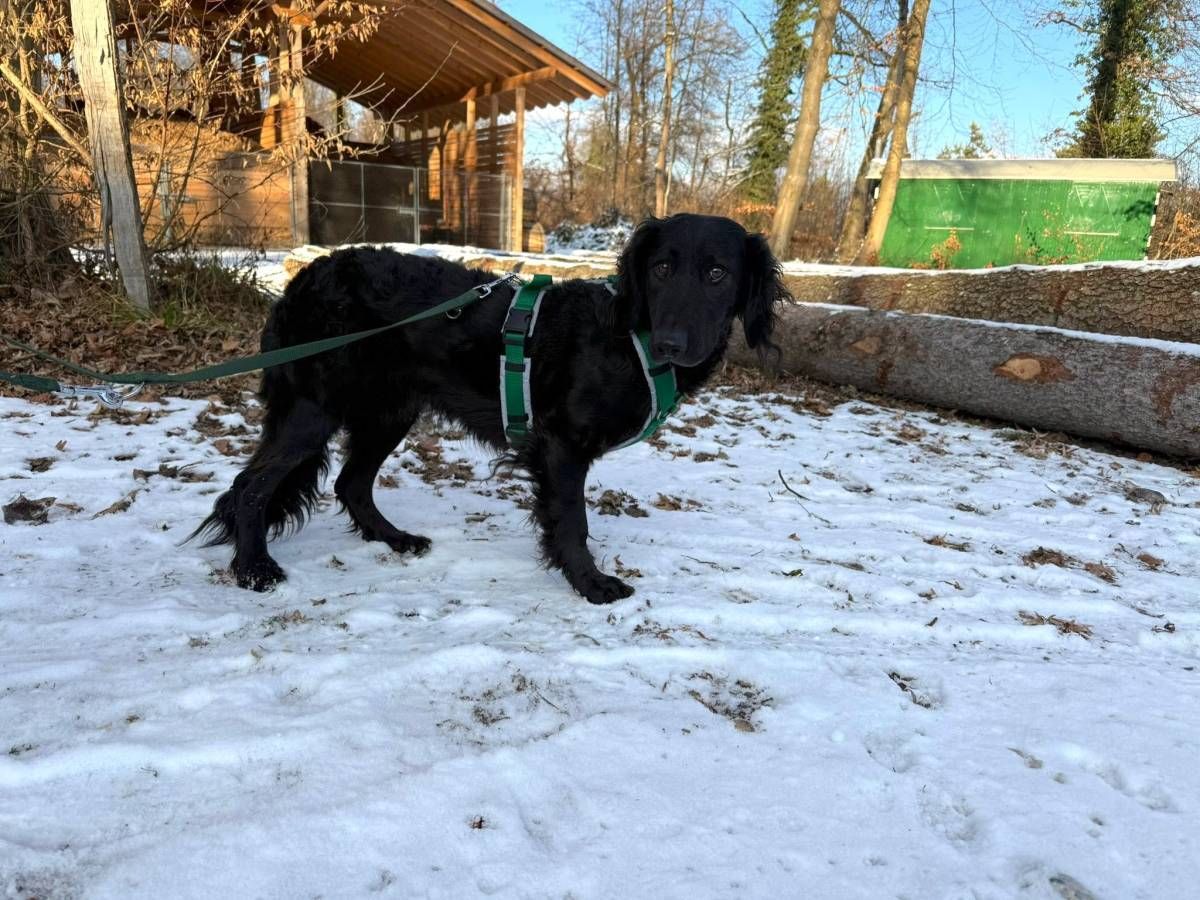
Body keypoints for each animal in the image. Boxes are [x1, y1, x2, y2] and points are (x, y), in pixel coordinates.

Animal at [193, 214, 789, 604]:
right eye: (661, 268)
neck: (627, 336)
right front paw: (589, 583)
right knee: (250, 488)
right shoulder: (560, 446)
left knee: (350, 483)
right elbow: (572, 522)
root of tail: (300, 278)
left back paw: (394, 538)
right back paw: (254, 569)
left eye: (717, 274)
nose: (670, 343)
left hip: (389, 411)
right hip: (311, 411)